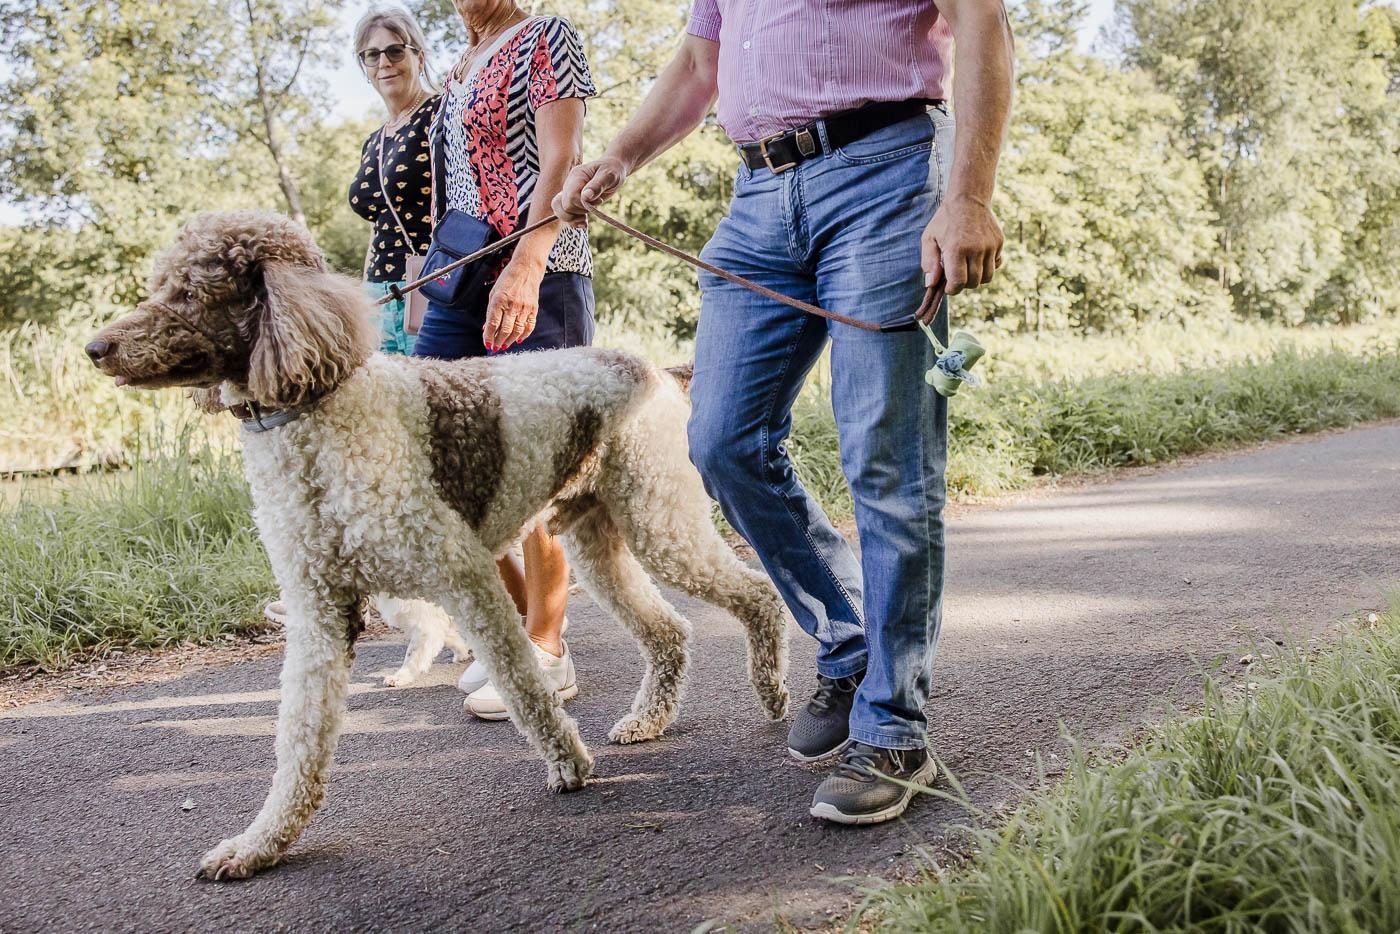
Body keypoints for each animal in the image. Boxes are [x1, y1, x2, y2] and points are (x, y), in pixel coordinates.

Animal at [84, 211, 789, 884]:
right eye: (160, 285)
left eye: (189, 290)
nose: (95, 348)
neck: (318, 408)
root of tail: (653, 369)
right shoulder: (318, 611)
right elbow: (299, 741)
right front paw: (261, 844)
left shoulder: (463, 575)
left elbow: (520, 680)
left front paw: (568, 763)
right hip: (600, 539)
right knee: (669, 631)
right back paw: (649, 721)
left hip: (659, 518)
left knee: (757, 594)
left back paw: (773, 693)